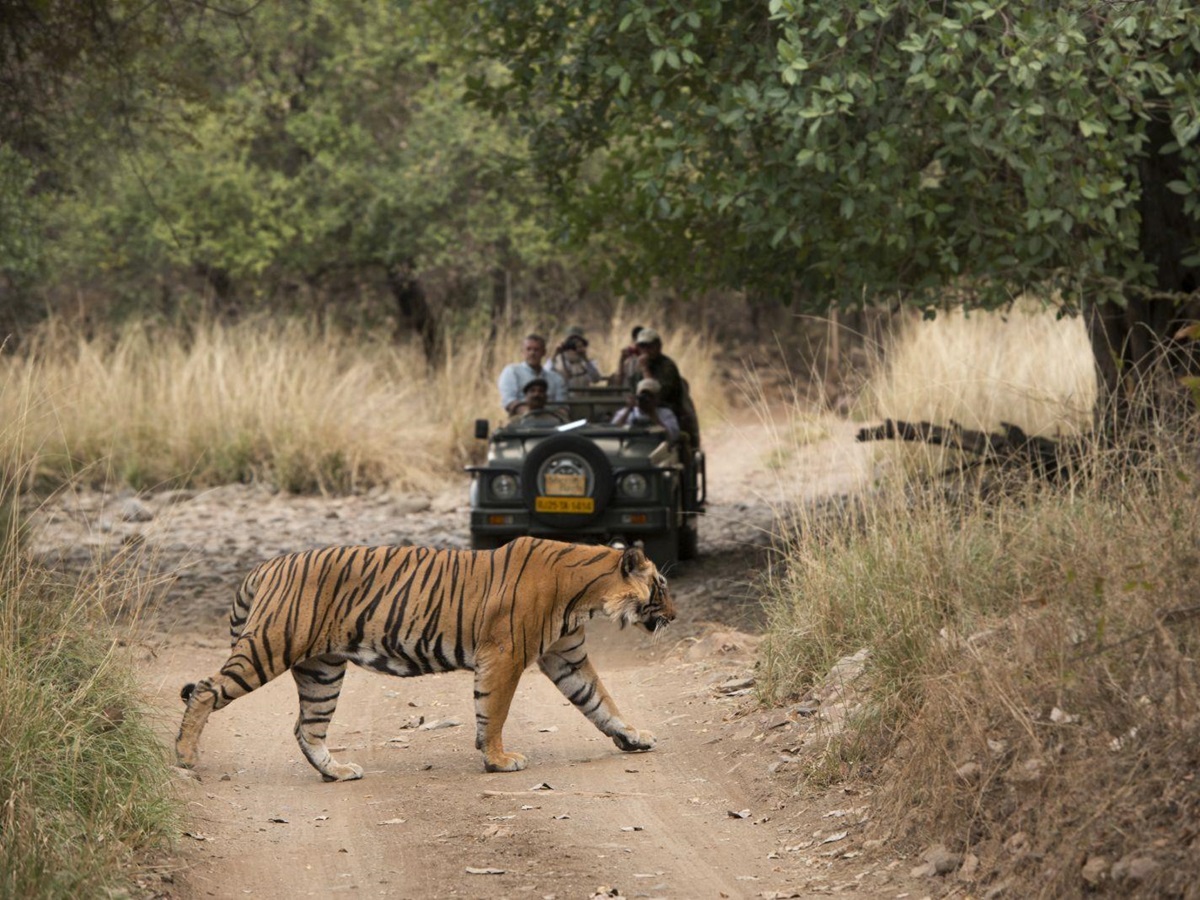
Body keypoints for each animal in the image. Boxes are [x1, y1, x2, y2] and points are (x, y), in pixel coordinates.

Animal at [175, 536, 675, 782]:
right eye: (661, 588)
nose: (674, 616)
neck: (585, 595)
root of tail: (265, 566)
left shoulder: (565, 656)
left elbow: (601, 701)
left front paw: (633, 737)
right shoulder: (505, 655)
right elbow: (494, 712)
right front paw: (498, 760)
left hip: (322, 670)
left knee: (307, 729)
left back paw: (337, 772)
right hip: (270, 646)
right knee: (205, 689)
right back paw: (184, 757)